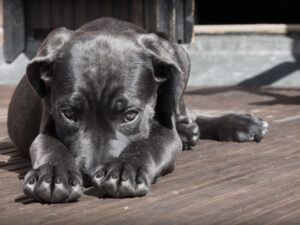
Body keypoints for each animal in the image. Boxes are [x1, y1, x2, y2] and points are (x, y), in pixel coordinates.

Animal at [7, 17, 270, 203]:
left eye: (130, 115)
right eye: (69, 114)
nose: (91, 174)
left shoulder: (165, 131)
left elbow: (148, 144)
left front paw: (127, 168)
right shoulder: (47, 125)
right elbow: (50, 146)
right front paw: (53, 174)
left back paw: (237, 123)